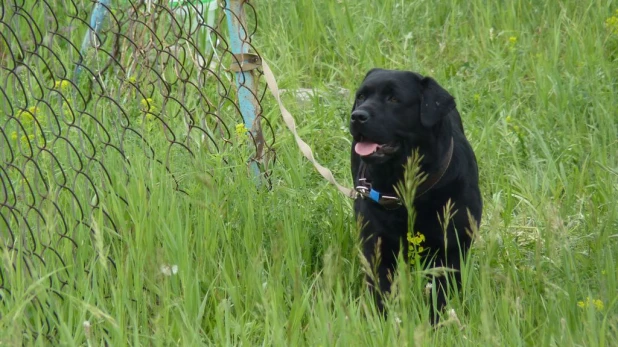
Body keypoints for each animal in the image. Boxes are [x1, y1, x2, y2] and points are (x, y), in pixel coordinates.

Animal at [348, 68, 478, 324]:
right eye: (361, 96)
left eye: (394, 99)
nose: (358, 116)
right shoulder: (376, 246)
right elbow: (381, 292)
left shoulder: (452, 249)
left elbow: (440, 294)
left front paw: (435, 324)